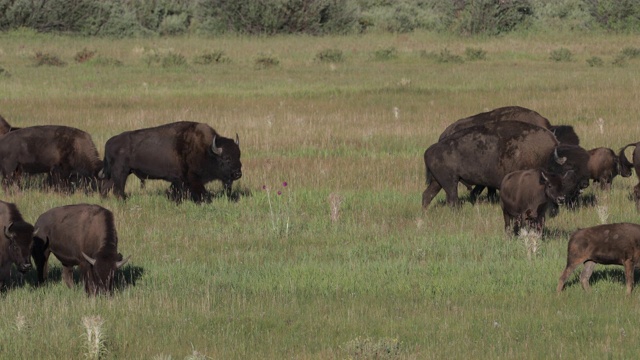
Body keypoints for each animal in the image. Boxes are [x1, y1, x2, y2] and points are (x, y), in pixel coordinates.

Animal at [100, 121, 242, 202]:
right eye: (226, 158)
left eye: (239, 156)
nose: (238, 174)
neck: (206, 150)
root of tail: (109, 143)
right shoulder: (190, 179)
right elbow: (200, 192)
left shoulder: (179, 181)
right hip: (121, 172)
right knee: (118, 189)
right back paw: (123, 201)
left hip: (118, 173)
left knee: (107, 187)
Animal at [422, 121, 592, 210]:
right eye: (569, 168)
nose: (585, 183)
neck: (546, 157)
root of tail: (429, 150)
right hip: (450, 182)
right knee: (452, 199)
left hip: (438, 182)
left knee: (427, 195)